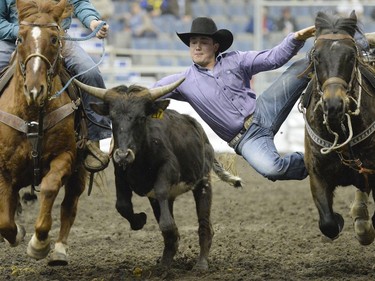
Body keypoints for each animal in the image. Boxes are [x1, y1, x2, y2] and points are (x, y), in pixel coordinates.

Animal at [0, 0, 86, 264]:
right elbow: (5, 221)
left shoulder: (65, 156)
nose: (35, 89)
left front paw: (39, 243)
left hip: (80, 170)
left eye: (55, 39)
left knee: (70, 204)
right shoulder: (2, 168)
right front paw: (18, 233)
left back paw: (58, 250)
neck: (31, 116)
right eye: (19, 38)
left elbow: (49, 188)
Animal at [304, 9, 375, 244]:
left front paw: (365, 230)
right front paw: (340, 220)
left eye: (351, 56)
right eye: (316, 56)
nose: (334, 105)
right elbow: (327, 223)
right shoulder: (316, 172)